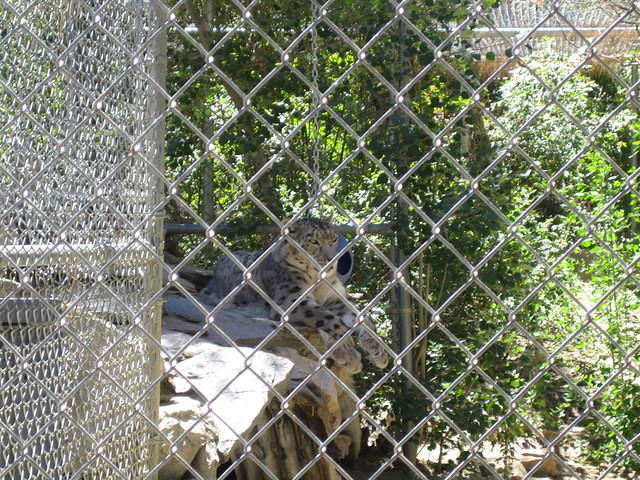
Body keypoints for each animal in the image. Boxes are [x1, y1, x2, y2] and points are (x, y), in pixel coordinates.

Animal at [202, 216, 388, 374]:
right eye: (314, 241)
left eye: (333, 238)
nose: (333, 258)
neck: (317, 280)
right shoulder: (291, 300)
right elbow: (328, 317)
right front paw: (349, 354)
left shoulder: (334, 299)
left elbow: (362, 317)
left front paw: (378, 351)